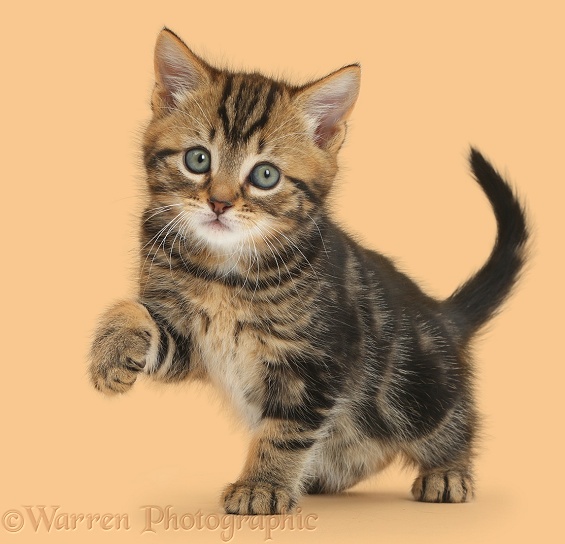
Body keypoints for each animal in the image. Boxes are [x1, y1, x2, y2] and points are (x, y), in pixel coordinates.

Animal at [87, 28, 524, 516]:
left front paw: (261, 485)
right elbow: (134, 312)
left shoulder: (315, 360)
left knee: (450, 419)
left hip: (415, 387)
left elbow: (287, 429)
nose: (219, 202)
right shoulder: (194, 343)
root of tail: (441, 315)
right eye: (198, 159)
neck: (225, 271)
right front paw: (112, 350)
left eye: (265, 175)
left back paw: (448, 472)